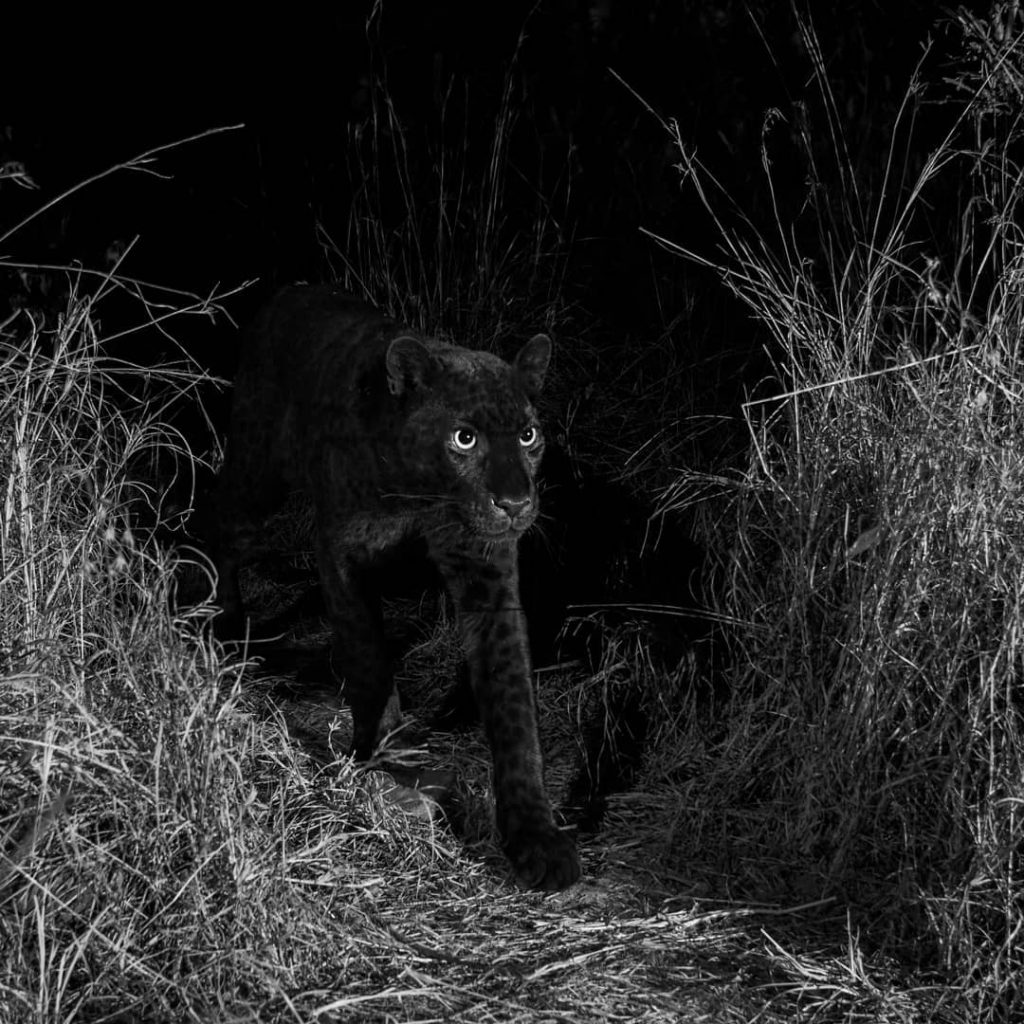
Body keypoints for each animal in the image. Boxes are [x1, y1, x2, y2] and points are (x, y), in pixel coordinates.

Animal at [212, 284, 580, 891]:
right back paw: (220, 628)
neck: (422, 496)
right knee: (212, 521)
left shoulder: (487, 572)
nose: (514, 503)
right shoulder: (341, 551)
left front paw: (536, 838)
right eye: (464, 438)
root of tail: (286, 291)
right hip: (257, 477)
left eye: (529, 435)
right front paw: (386, 756)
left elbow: (512, 704)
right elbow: (367, 656)